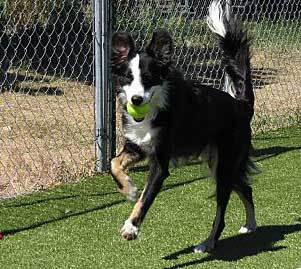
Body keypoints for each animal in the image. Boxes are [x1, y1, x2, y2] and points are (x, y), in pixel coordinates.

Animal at [109, 0, 256, 251]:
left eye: (149, 77)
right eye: (128, 78)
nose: (136, 100)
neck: (155, 107)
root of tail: (241, 105)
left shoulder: (160, 164)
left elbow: (145, 199)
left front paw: (131, 227)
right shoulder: (137, 146)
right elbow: (113, 163)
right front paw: (128, 188)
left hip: (225, 165)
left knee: (222, 212)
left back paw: (208, 242)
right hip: (219, 165)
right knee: (246, 188)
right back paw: (250, 225)